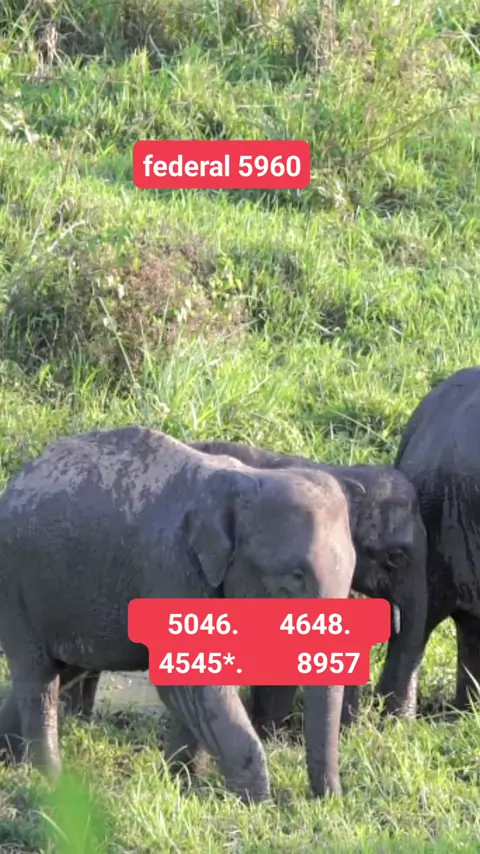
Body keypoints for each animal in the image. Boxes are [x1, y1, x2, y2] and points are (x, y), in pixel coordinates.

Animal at [0, 425, 357, 801]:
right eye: (296, 576)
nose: (329, 801)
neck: (244, 481)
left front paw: (184, 786)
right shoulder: (173, 571)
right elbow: (191, 683)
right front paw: (255, 803)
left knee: (64, 668)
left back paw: (9, 762)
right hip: (16, 587)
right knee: (38, 677)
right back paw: (49, 783)